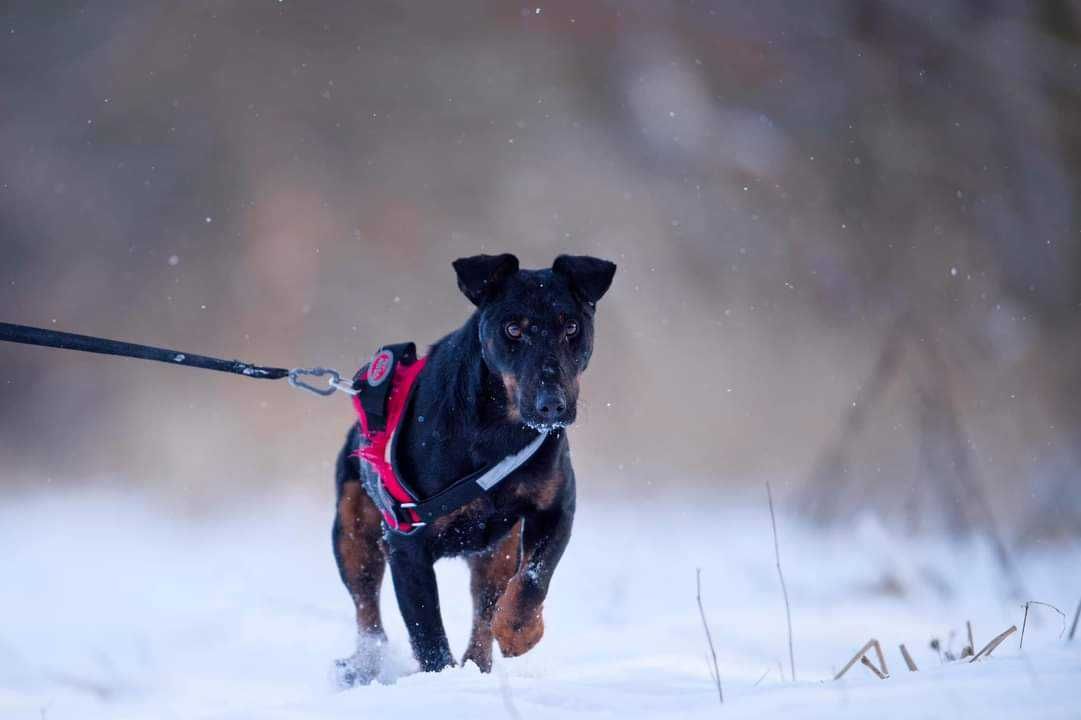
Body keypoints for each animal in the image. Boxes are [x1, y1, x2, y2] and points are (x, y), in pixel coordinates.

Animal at [328, 254, 618, 683]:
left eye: (571, 327)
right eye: (512, 328)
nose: (552, 404)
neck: (498, 429)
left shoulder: (555, 508)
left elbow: (533, 578)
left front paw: (519, 632)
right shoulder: (405, 540)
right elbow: (426, 627)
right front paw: (440, 676)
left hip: (497, 552)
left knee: (484, 612)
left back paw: (478, 663)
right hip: (353, 528)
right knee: (367, 610)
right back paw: (364, 666)